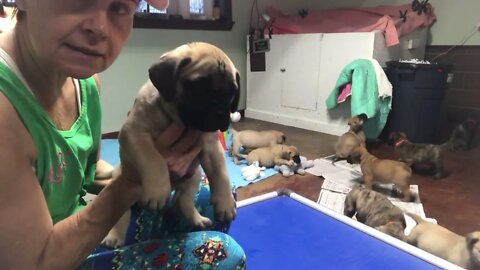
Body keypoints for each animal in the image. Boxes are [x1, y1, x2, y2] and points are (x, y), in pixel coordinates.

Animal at [101, 42, 240, 249]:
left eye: (231, 93)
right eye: (199, 87)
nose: (219, 111)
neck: (178, 120)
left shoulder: (211, 146)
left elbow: (221, 174)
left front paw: (225, 202)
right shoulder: (134, 133)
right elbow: (153, 158)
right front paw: (157, 191)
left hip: (194, 175)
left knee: (182, 201)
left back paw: (197, 219)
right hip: (119, 190)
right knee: (122, 216)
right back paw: (114, 237)